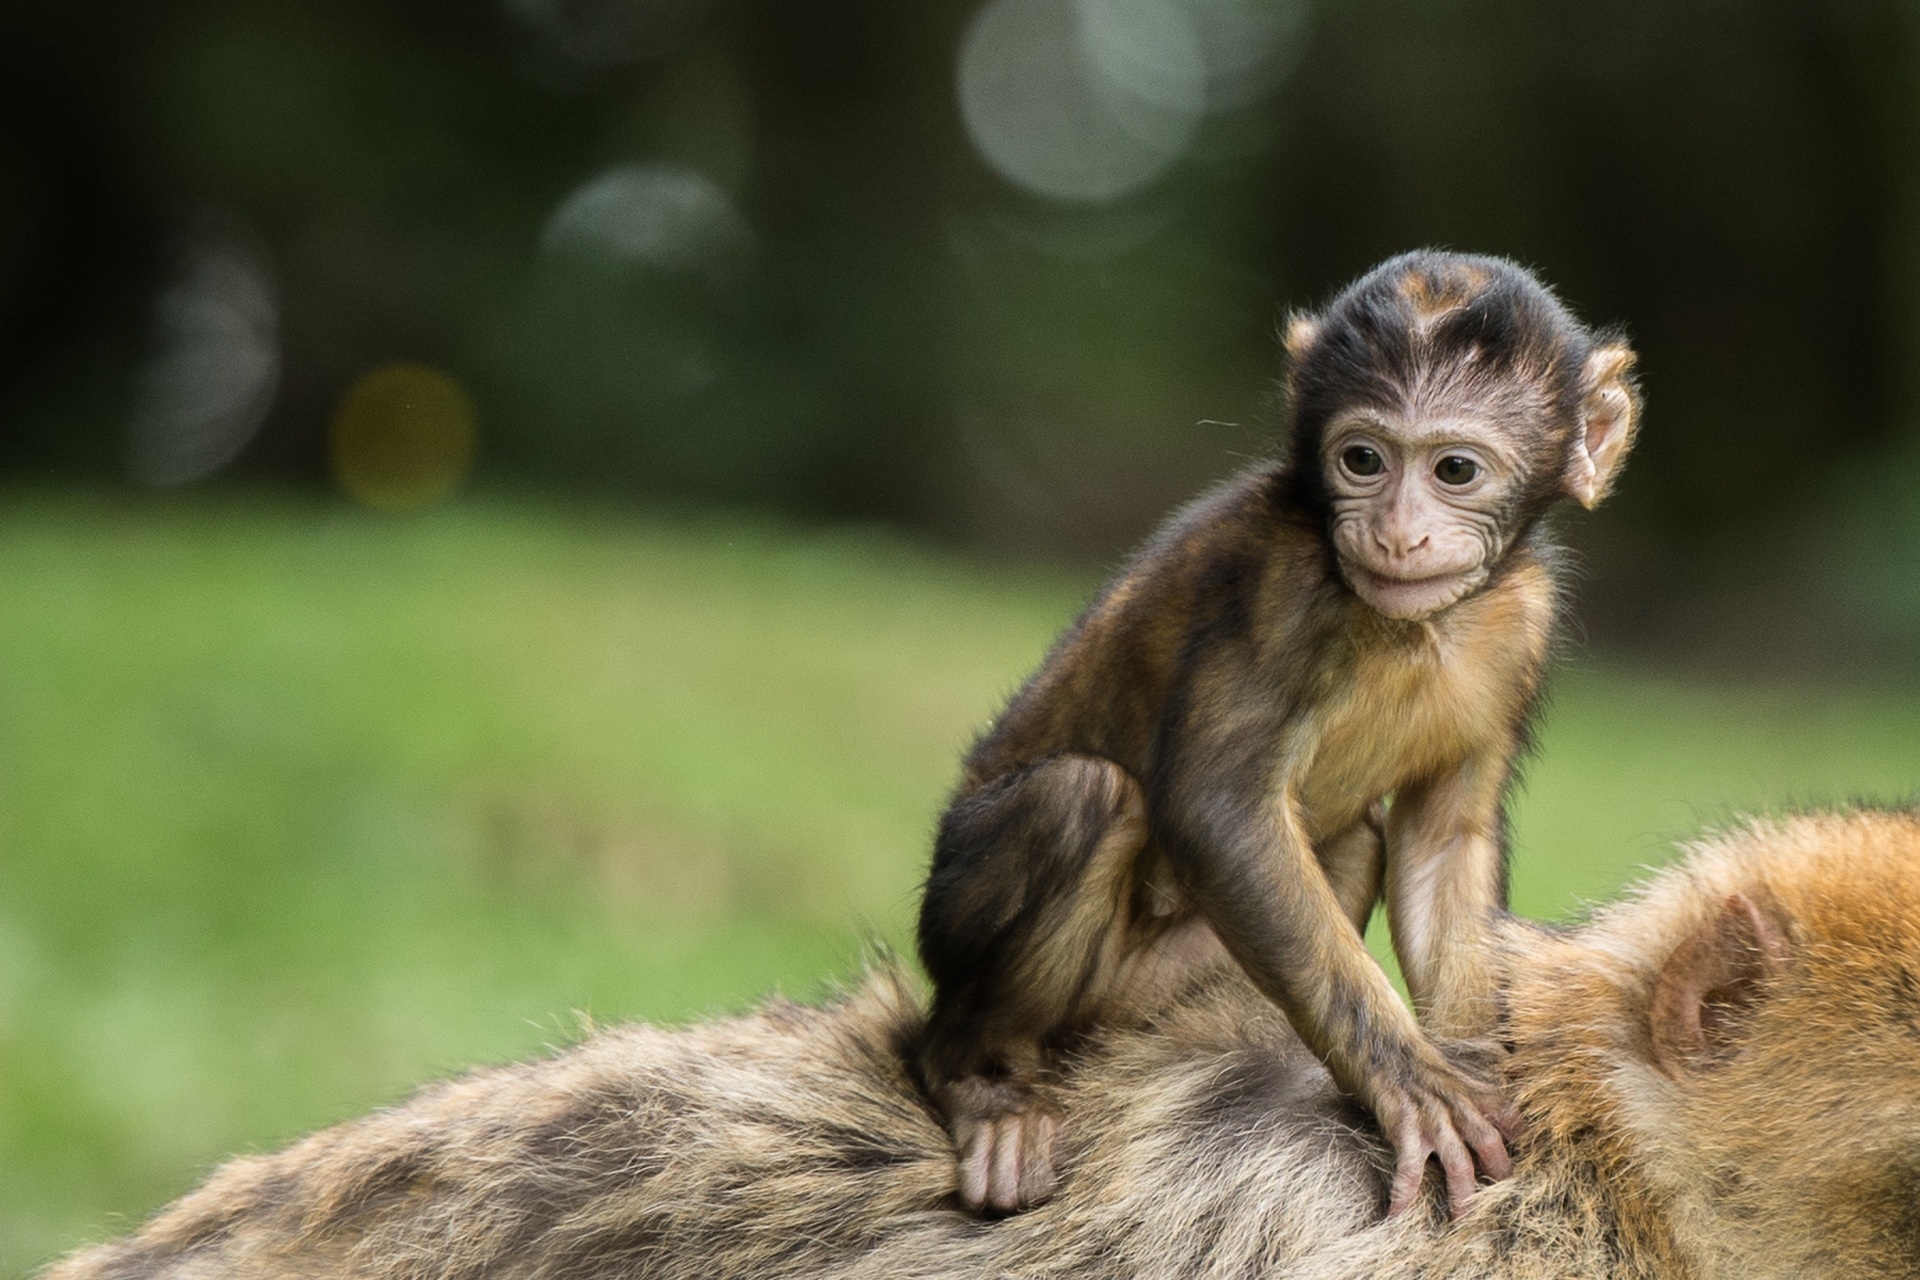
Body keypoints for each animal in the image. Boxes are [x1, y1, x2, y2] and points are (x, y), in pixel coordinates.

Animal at [921, 249, 1643, 1220]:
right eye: (1363, 460)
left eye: (1455, 470)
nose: (1396, 532)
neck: (1413, 627)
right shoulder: (1278, 584)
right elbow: (1220, 811)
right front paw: (1411, 1086)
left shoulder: (1523, 621)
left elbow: (1441, 842)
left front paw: (1485, 1083)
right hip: (969, 930)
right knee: (1079, 797)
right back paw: (977, 1080)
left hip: (1144, 995)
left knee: (1356, 837)